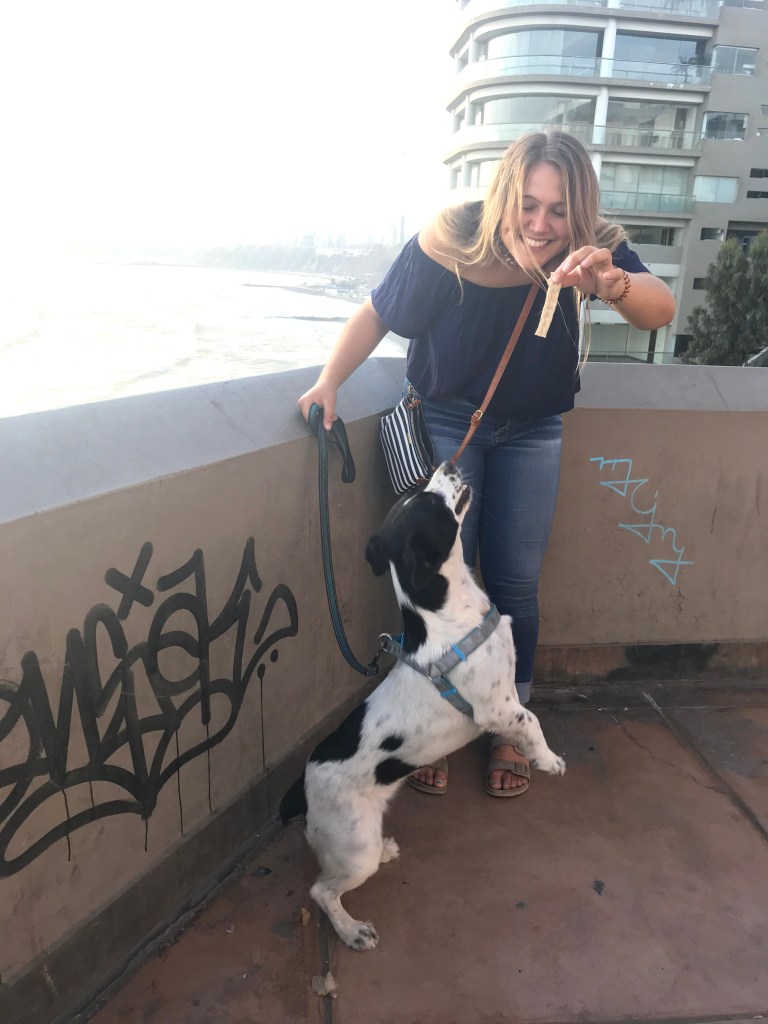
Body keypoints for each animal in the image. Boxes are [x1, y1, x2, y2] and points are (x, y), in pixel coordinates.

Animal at [279, 461, 565, 950]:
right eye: (431, 502)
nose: (446, 464)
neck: (454, 617)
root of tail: (303, 785)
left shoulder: (504, 701)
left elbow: (521, 724)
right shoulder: (497, 705)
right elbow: (531, 719)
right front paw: (547, 759)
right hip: (355, 848)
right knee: (322, 890)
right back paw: (351, 930)